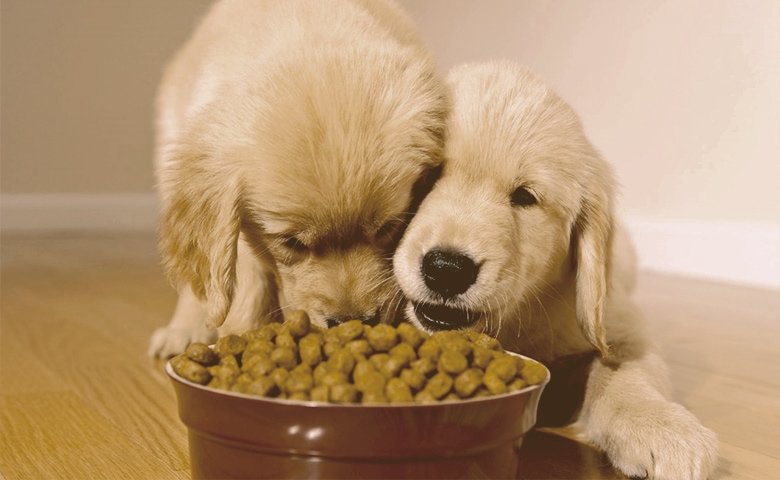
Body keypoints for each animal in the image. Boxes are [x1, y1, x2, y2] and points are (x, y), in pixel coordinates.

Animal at [149, 0, 448, 358]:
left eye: (388, 228)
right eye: (292, 242)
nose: (351, 322)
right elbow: (244, 282)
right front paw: (243, 334)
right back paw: (184, 329)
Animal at [396, 61, 720, 480]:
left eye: (525, 197)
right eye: (428, 177)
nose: (447, 269)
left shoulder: (617, 324)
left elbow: (623, 370)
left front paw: (660, 425)